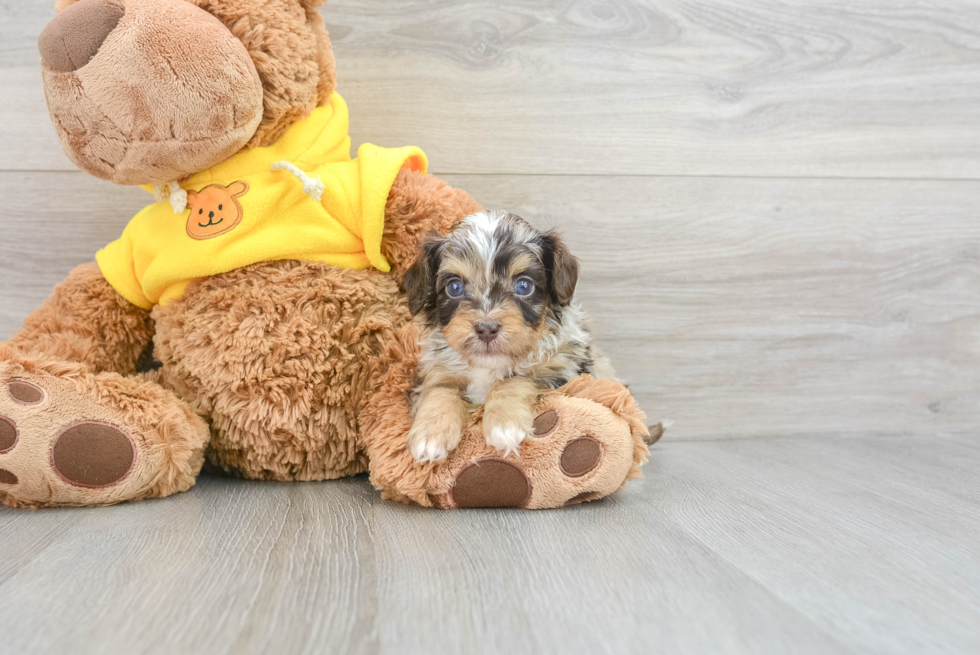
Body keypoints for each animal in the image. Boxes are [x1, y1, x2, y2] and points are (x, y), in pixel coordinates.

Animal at [402, 210, 616, 462]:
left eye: (524, 286)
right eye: (454, 287)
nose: (486, 328)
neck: (489, 365)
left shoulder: (560, 371)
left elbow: (513, 380)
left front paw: (504, 426)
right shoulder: (435, 371)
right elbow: (441, 391)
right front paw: (430, 436)